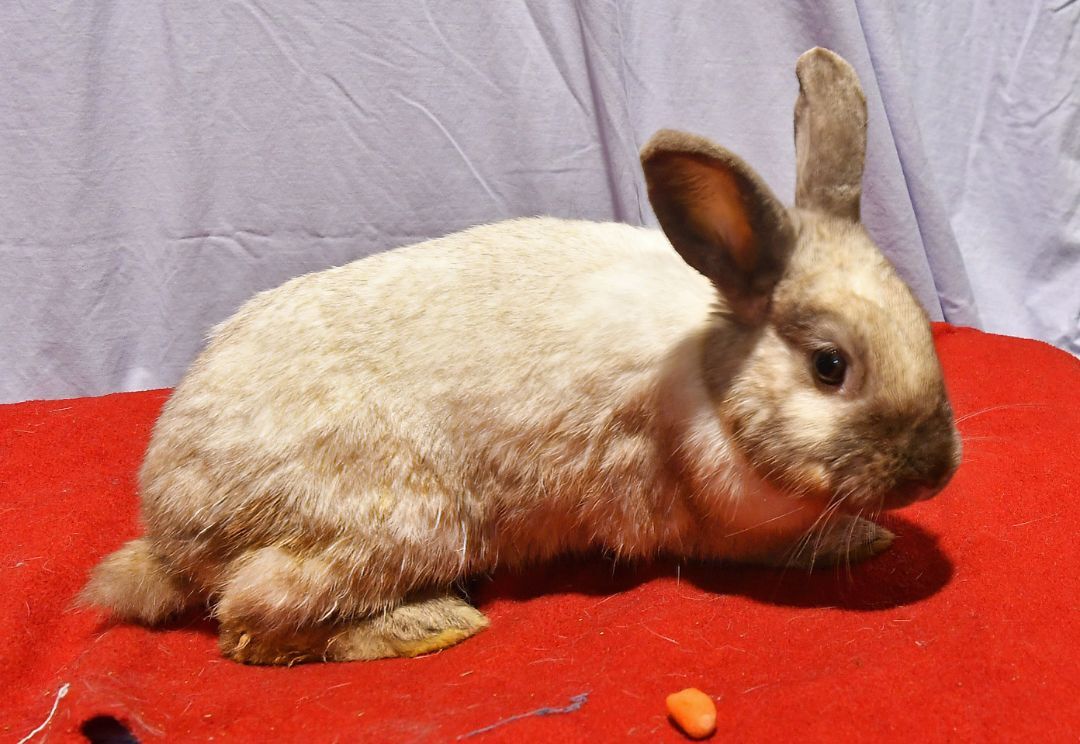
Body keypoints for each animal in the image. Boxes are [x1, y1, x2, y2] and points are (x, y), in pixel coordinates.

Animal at [82, 49, 963, 665]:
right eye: (829, 366)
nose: (933, 473)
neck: (714, 380)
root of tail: (171, 526)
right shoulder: (715, 522)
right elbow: (776, 549)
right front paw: (860, 541)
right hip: (402, 522)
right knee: (250, 621)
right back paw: (429, 625)